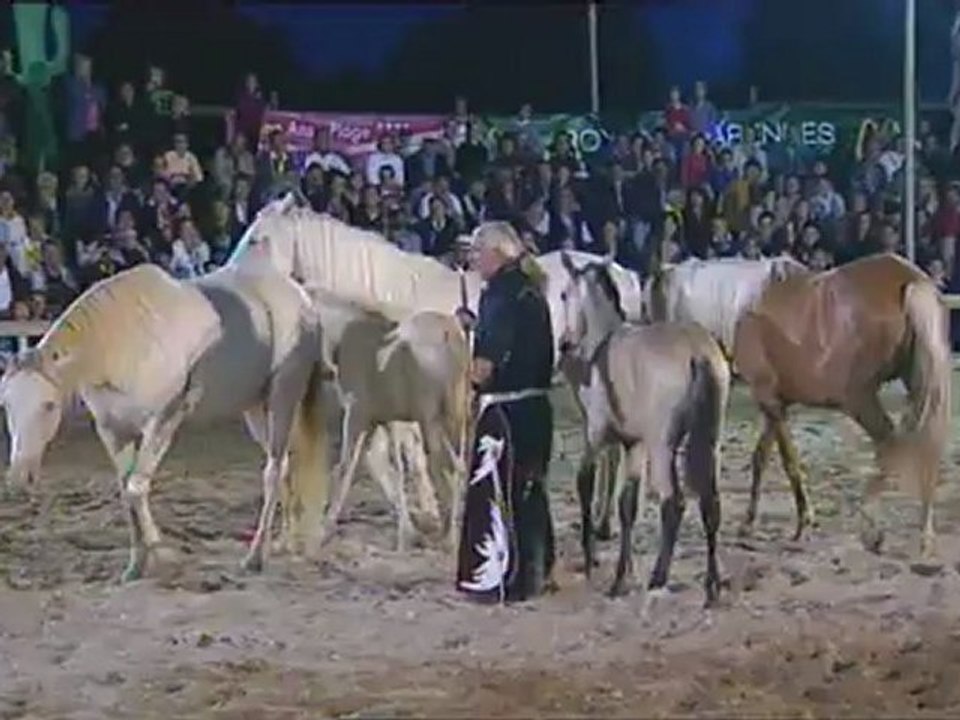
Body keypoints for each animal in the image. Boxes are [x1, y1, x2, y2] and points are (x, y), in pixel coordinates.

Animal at [0, 262, 329, 581]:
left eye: (48, 405)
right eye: (6, 404)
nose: (20, 476)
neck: (128, 342)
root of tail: (300, 297)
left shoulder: (163, 421)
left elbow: (136, 488)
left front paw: (161, 556)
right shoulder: (113, 432)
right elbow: (126, 492)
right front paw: (135, 566)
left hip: (282, 397)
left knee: (273, 470)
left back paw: (255, 558)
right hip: (255, 408)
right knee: (285, 465)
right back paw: (283, 543)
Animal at [310, 288, 470, 552]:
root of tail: (450, 333)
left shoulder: (357, 416)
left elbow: (346, 467)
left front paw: (326, 528)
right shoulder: (385, 421)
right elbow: (394, 469)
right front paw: (410, 531)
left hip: (432, 421)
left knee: (446, 466)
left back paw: (448, 537)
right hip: (454, 419)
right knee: (460, 465)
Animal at [557, 252, 731, 605]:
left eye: (565, 295)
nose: (565, 344)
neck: (604, 344)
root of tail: (698, 353)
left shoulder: (597, 436)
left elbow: (585, 483)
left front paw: (591, 559)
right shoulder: (633, 445)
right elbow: (627, 505)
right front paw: (620, 577)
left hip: (662, 447)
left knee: (673, 503)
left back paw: (659, 576)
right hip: (710, 441)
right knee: (711, 504)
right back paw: (712, 585)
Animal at [733, 252, 951, 559]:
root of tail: (912, 281)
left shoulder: (769, 401)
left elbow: (789, 462)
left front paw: (804, 523)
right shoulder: (778, 405)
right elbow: (761, 458)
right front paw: (748, 524)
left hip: (859, 399)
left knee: (889, 442)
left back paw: (870, 527)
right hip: (919, 384)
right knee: (926, 447)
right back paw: (924, 537)